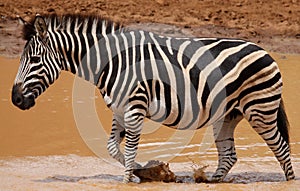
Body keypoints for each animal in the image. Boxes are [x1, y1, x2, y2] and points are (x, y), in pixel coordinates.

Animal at [12, 14, 296, 183]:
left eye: (34, 59)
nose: (15, 100)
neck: (112, 62)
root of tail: (264, 50)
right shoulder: (119, 110)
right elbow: (113, 147)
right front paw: (141, 172)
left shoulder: (134, 107)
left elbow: (128, 148)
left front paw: (128, 180)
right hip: (228, 115)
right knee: (229, 155)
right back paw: (212, 181)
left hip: (260, 110)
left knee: (281, 148)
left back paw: (289, 181)